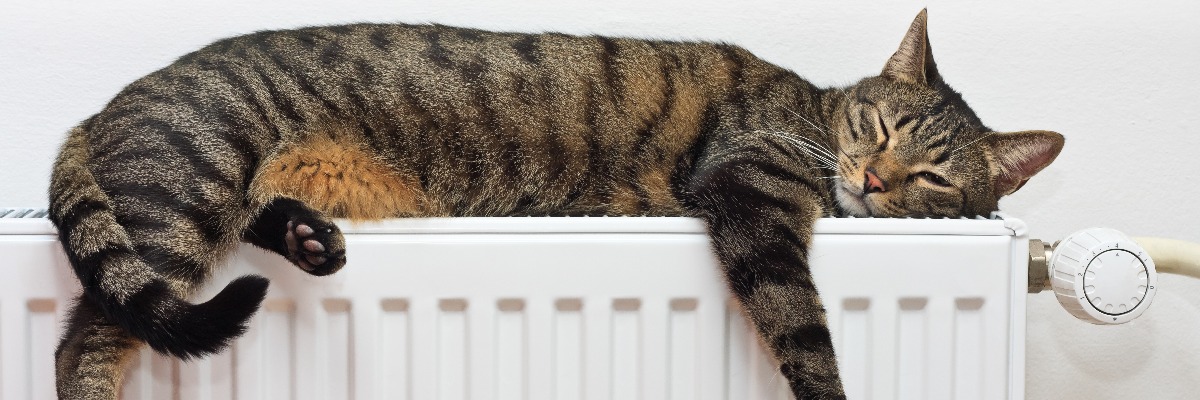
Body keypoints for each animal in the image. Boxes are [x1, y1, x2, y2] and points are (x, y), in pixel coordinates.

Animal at [46, 10, 1065, 398]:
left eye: (935, 179)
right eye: (881, 124)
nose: (876, 180)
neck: (815, 119)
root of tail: (102, 111)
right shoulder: (750, 193)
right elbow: (803, 328)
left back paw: (304, 235)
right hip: (183, 191)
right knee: (84, 337)